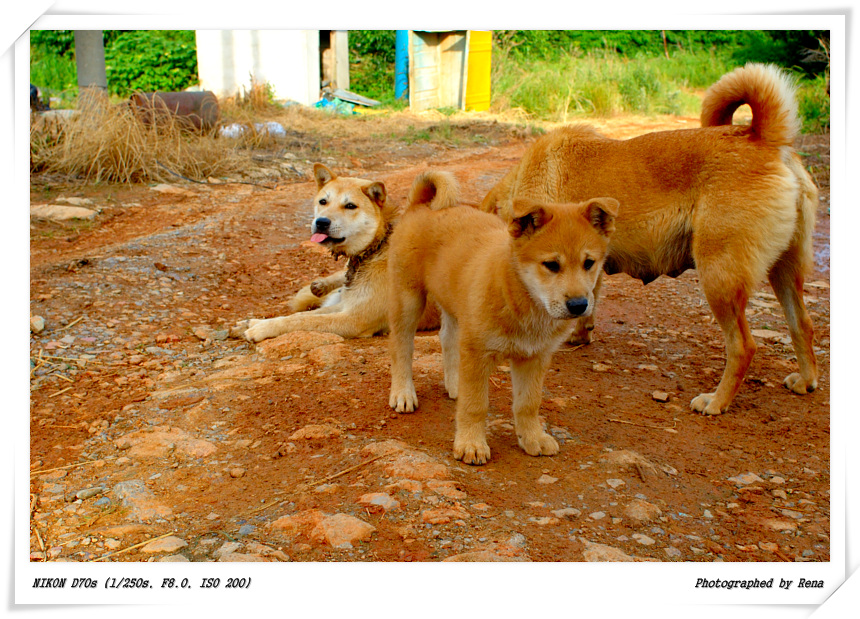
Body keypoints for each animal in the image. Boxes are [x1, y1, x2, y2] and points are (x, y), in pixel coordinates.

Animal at [245, 162, 440, 342]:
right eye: (323, 201)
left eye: (350, 206)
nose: (321, 222)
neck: (374, 249)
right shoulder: (345, 305)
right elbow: (300, 316)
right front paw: (255, 323)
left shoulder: (355, 319)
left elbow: (302, 321)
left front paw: (261, 328)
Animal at [388, 171, 620, 464]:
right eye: (551, 265)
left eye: (589, 263)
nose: (579, 305)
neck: (519, 299)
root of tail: (421, 205)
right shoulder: (477, 353)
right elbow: (475, 405)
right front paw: (471, 444)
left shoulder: (534, 357)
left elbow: (528, 403)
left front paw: (532, 437)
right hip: (408, 299)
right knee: (401, 347)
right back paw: (403, 392)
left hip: (456, 306)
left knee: (448, 338)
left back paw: (455, 384)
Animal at [484, 63, 820, 416]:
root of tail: (766, 139)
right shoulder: (587, 267)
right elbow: (587, 306)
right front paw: (579, 334)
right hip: (784, 272)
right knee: (803, 324)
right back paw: (806, 380)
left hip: (719, 277)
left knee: (744, 346)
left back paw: (717, 401)